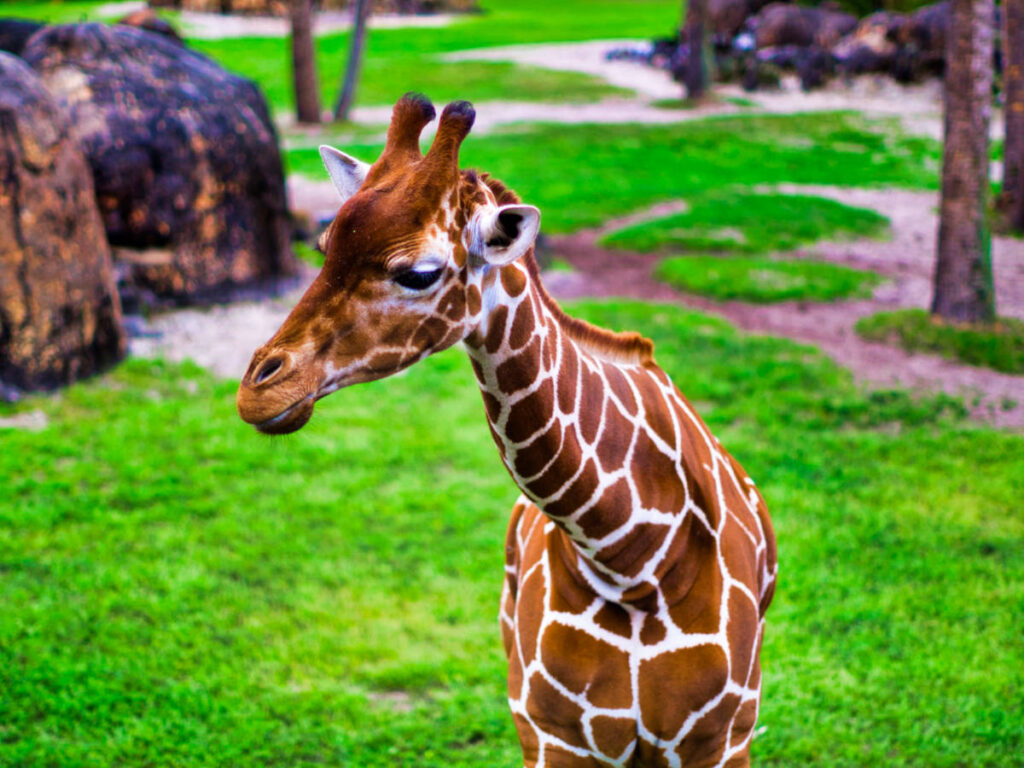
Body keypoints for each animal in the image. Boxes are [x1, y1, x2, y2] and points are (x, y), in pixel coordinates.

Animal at [236, 94, 778, 768]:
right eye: (323, 242)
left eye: (419, 272)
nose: (259, 390)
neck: (633, 558)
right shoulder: (548, 732)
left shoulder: (721, 738)